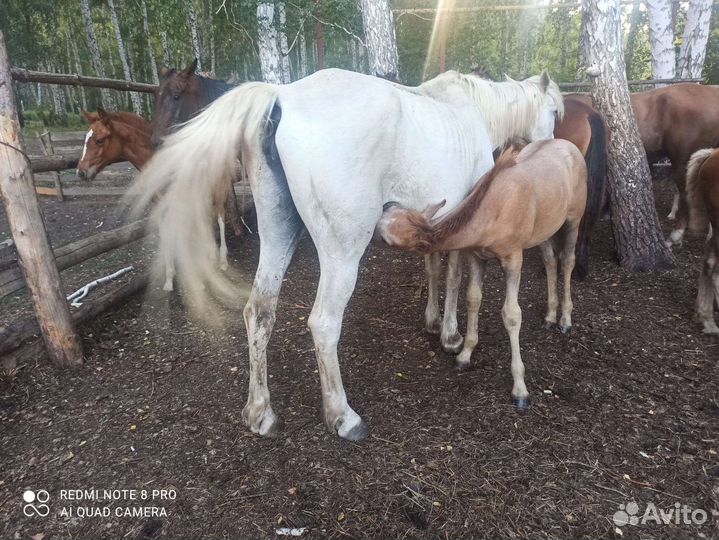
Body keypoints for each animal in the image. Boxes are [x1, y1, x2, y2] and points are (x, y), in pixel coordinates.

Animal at [78, 107, 235, 290]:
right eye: (85, 140)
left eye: (100, 140)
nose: (81, 172)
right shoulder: (160, 205)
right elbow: (166, 235)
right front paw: (169, 279)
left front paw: (199, 281)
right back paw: (211, 256)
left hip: (219, 192)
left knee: (220, 219)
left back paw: (222, 261)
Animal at [128, 67, 562, 441]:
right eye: (555, 110)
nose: (551, 144)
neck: (471, 111)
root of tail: (281, 97)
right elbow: (453, 275)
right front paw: (452, 336)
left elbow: (434, 268)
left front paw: (434, 322)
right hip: (342, 252)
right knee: (323, 323)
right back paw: (343, 417)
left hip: (277, 229)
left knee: (258, 311)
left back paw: (260, 413)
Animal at [376, 139, 587, 408]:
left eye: (385, 235)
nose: (386, 204)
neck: (491, 212)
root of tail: (571, 147)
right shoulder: (476, 256)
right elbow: (472, 299)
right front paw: (465, 355)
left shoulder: (513, 257)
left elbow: (512, 314)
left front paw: (520, 389)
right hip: (545, 229)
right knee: (550, 261)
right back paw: (550, 316)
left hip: (573, 220)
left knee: (568, 261)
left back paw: (565, 319)